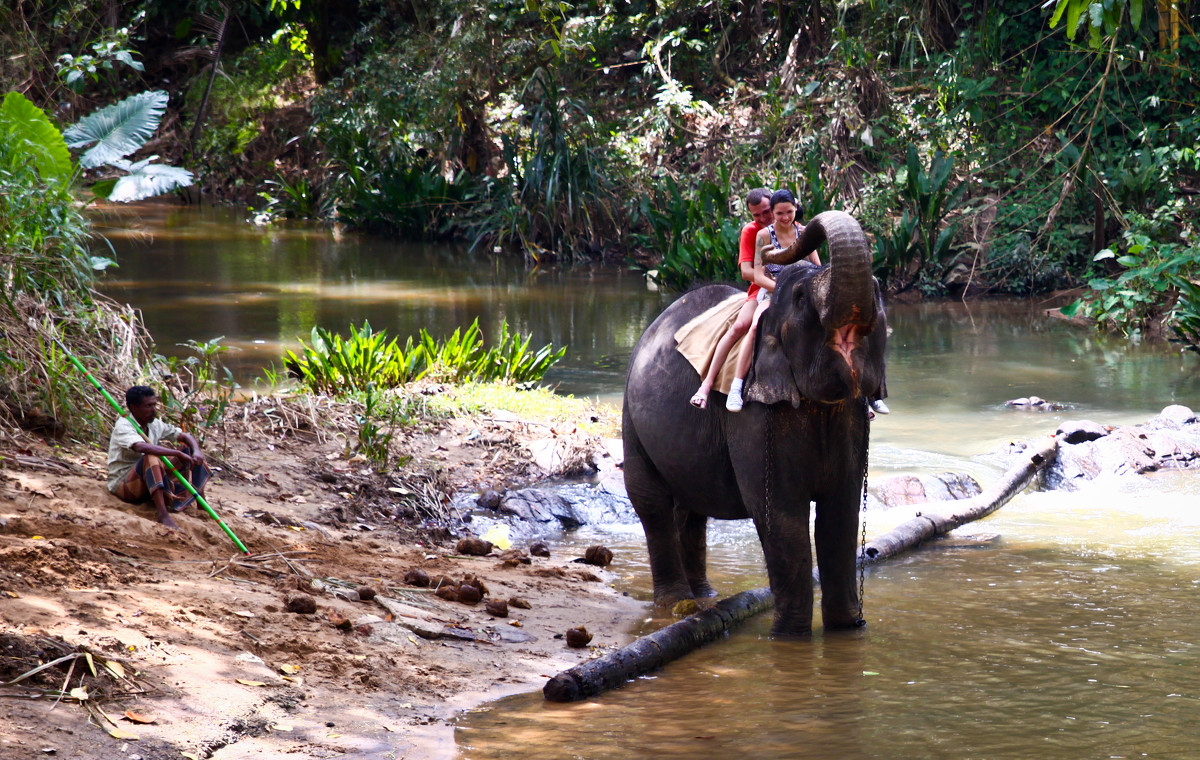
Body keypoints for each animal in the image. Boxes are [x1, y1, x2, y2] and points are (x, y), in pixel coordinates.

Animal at [624, 207, 888, 633]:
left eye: (879, 291)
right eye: (801, 299)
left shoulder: (850, 418)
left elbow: (841, 512)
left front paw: (848, 630)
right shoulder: (753, 415)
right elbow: (780, 514)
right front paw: (790, 637)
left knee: (691, 511)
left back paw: (705, 596)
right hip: (632, 418)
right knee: (652, 503)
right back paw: (676, 603)